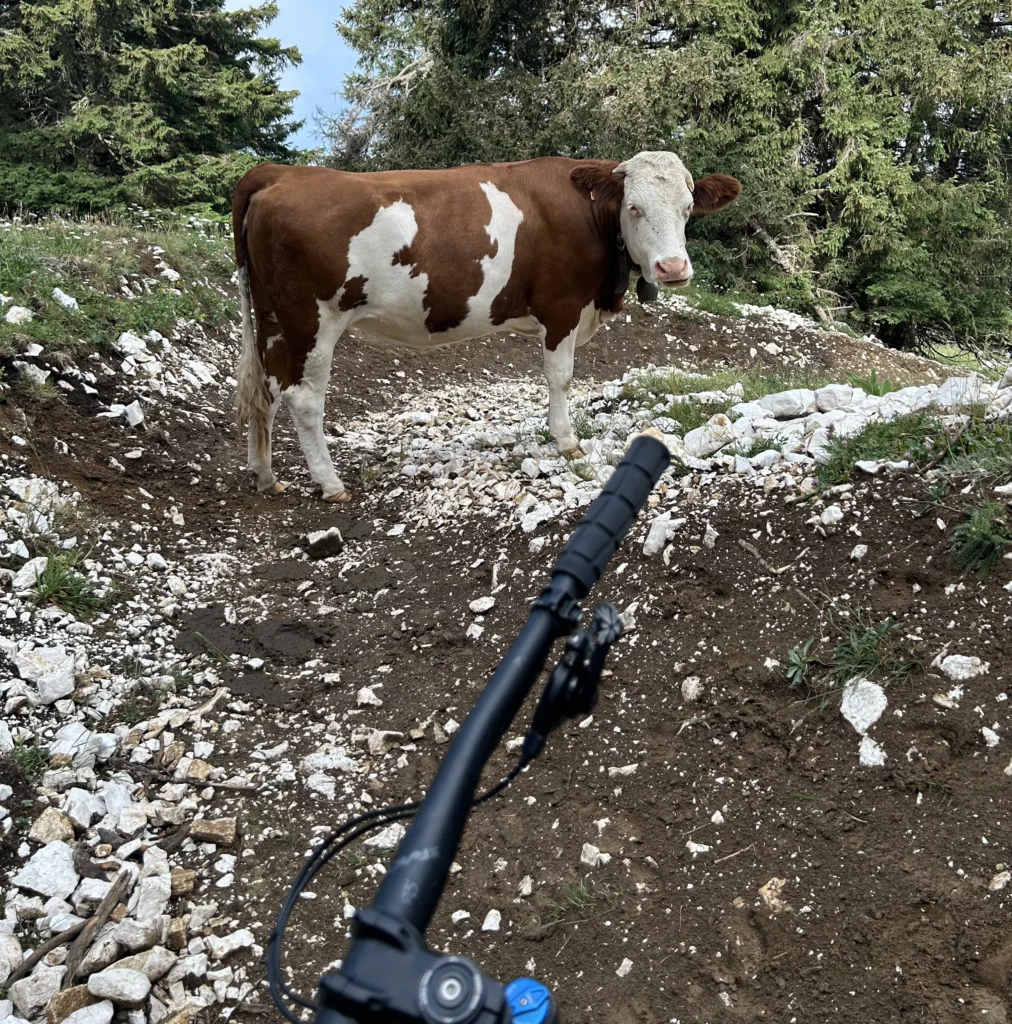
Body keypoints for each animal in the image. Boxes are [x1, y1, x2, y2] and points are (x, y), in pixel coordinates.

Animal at [232, 152, 741, 502]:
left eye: (688, 207)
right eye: (633, 207)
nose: (673, 268)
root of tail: (280, 172)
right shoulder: (561, 309)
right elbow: (561, 377)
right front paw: (567, 442)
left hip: (273, 319)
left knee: (267, 390)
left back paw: (265, 474)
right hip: (312, 321)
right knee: (303, 399)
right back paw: (330, 482)